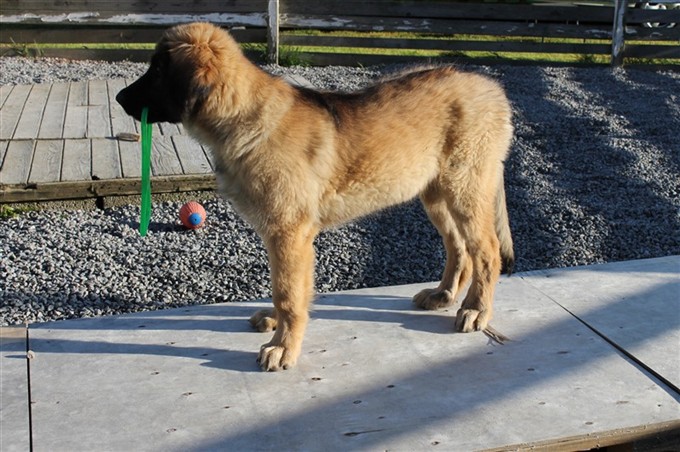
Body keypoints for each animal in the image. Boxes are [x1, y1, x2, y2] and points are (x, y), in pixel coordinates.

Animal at [117, 22, 512, 370]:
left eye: (157, 70)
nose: (119, 98)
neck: (245, 119)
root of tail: (492, 88)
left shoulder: (289, 232)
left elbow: (288, 293)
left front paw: (282, 348)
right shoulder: (286, 236)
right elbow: (288, 287)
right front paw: (277, 325)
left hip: (465, 188)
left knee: (486, 251)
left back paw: (476, 309)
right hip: (435, 193)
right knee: (458, 247)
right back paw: (443, 295)